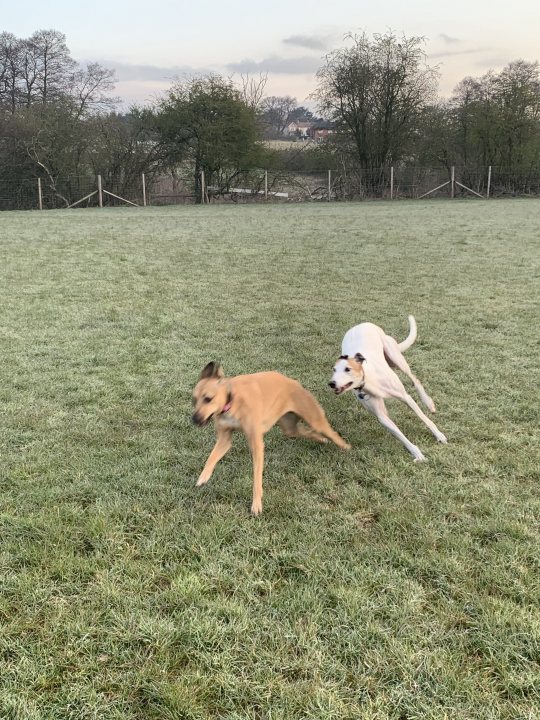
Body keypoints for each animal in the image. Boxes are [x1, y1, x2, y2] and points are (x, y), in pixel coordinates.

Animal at [192, 362, 348, 516]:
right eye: (194, 400)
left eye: (208, 398)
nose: (194, 419)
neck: (232, 401)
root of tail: (294, 382)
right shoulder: (224, 440)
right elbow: (211, 458)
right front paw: (203, 477)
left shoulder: (256, 445)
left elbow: (256, 478)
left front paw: (256, 504)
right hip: (290, 428)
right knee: (307, 432)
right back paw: (322, 440)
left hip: (314, 419)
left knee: (331, 433)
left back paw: (346, 447)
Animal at [330, 316, 448, 462]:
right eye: (333, 370)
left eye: (347, 369)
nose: (331, 383)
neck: (369, 381)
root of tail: (359, 325)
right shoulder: (381, 416)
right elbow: (400, 435)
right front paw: (416, 453)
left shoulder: (405, 397)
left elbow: (424, 418)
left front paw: (439, 435)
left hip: (395, 358)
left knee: (414, 379)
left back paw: (428, 403)